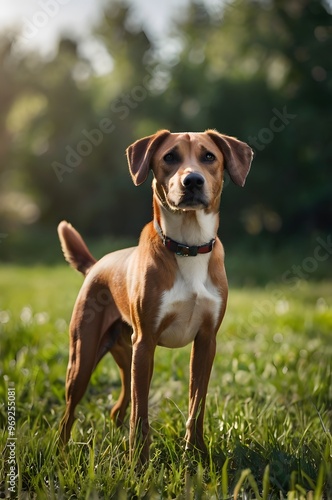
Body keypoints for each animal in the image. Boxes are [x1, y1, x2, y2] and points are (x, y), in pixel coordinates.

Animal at [58, 128, 253, 460]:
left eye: (209, 156)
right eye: (170, 157)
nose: (192, 181)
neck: (188, 246)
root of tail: (96, 265)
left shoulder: (206, 341)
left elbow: (197, 404)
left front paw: (196, 453)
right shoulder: (146, 341)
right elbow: (141, 414)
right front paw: (138, 462)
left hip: (126, 353)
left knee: (122, 398)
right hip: (85, 357)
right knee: (70, 413)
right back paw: (60, 452)